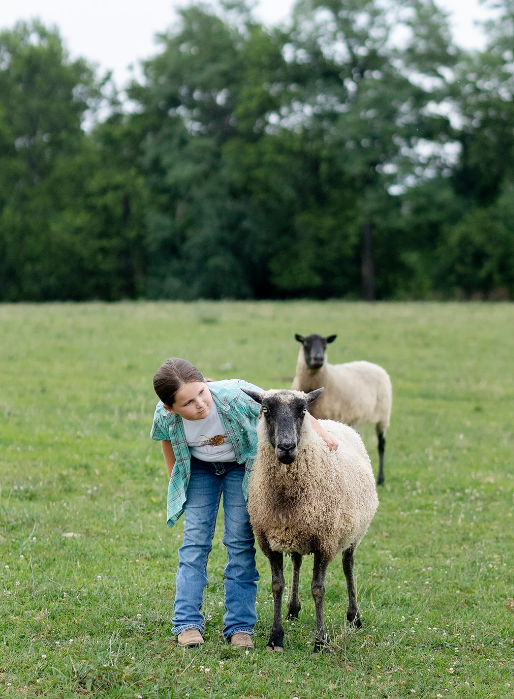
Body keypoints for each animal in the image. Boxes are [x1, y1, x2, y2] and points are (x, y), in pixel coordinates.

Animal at [240, 388, 376, 656]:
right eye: (265, 410)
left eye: (302, 411)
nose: (286, 447)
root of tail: (336, 423)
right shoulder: (269, 541)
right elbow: (277, 585)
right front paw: (276, 637)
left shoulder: (325, 541)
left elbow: (318, 589)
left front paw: (321, 641)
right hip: (296, 534)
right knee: (297, 561)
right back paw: (293, 609)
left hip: (354, 531)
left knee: (348, 564)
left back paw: (354, 616)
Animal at [290, 334, 390, 486]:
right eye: (305, 343)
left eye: (325, 345)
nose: (318, 359)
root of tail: (374, 365)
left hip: (383, 417)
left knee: (381, 445)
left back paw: (380, 479)